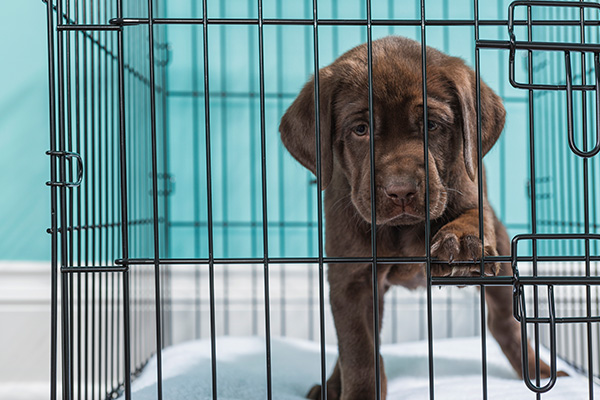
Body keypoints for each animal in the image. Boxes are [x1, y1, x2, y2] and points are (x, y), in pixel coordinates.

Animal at [278, 36, 556, 400]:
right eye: (360, 129)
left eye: (432, 126)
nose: (400, 191)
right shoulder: (350, 279)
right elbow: (358, 352)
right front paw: (357, 391)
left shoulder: (472, 196)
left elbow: (472, 215)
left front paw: (461, 242)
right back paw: (331, 386)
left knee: (505, 324)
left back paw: (542, 372)